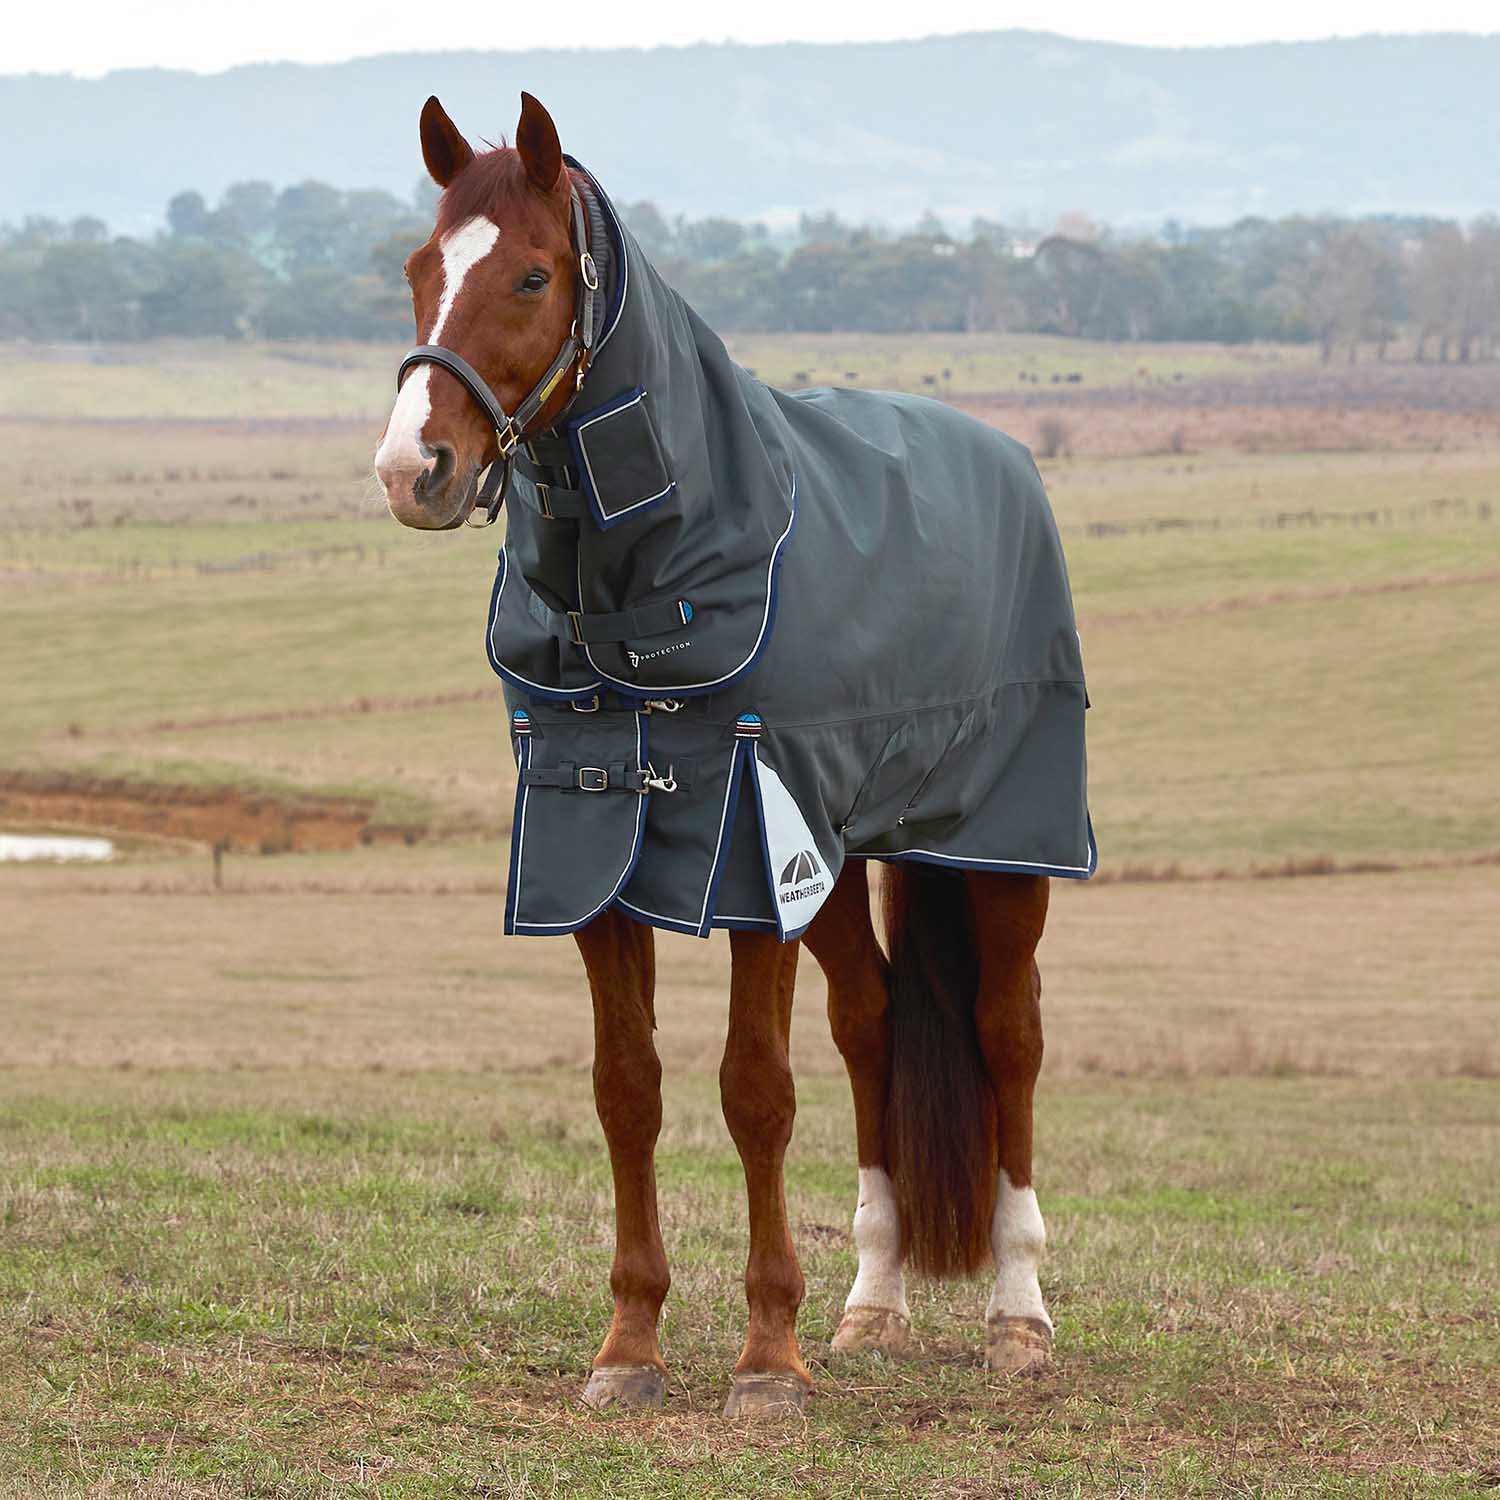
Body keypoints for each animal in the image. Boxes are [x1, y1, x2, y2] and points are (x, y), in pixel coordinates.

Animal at [374, 92, 1092, 1417]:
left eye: (532, 274)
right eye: (417, 271)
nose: (414, 470)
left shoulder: (753, 852)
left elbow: (755, 1092)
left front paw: (766, 1362)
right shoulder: (594, 847)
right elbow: (628, 1091)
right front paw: (630, 1347)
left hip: (1000, 844)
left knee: (1008, 1033)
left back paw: (1018, 1315)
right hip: (847, 857)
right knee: (872, 1025)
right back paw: (874, 1303)